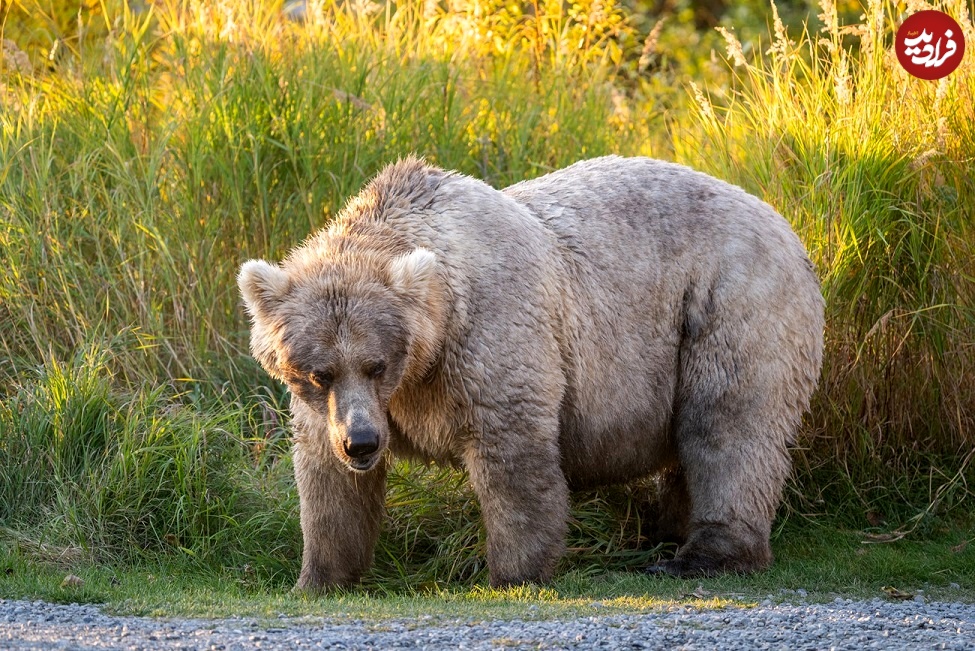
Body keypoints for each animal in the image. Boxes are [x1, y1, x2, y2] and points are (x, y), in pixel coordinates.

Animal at [236, 157, 824, 592]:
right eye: (318, 372)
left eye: (376, 364)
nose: (361, 442)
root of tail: (784, 222)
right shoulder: (337, 410)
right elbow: (328, 485)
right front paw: (316, 578)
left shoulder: (490, 334)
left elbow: (512, 455)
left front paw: (512, 572)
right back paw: (665, 533)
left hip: (726, 302)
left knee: (728, 426)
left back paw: (699, 554)